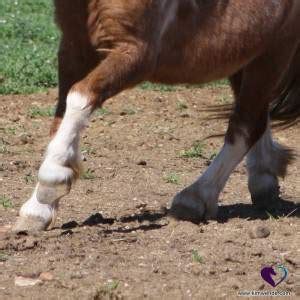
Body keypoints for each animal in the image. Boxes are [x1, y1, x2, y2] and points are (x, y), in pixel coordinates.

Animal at [12, 0, 298, 232]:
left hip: (274, 50)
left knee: (246, 124)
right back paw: (263, 180)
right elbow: (61, 115)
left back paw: (194, 198)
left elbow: (79, 98)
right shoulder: (74, 46)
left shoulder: (138, 54)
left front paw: (51, 182)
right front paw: (37, 209)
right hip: (247, 51)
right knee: (256, 117)